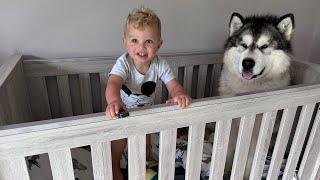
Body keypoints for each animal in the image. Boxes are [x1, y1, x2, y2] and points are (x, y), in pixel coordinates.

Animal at [218, 12, 296, 179]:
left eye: (264, 46)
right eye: (244, 45)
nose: (247, 63)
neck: (249, 89)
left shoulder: (260, 130)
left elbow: (251, 157)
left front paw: (245, 174)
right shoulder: (230, 123)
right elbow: (228, 149)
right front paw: (224, 167)